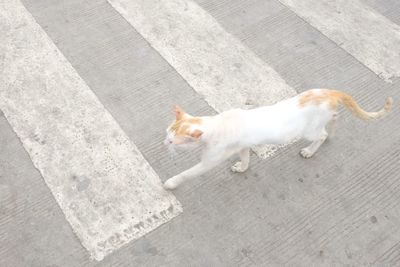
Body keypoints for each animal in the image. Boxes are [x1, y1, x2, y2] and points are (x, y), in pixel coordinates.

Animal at [163, 90, 394, 191]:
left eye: (173, 141)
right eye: (167, 132)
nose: (165, 142)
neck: (217, 124)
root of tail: (330, 93)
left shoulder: (209, 160)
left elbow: (187, 173)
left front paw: (171, 182)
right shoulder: (243, 146)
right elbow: (246, 158)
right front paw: (242, 167)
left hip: (309, 131)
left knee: (321, 135)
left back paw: (310, 150)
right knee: (334, 120)